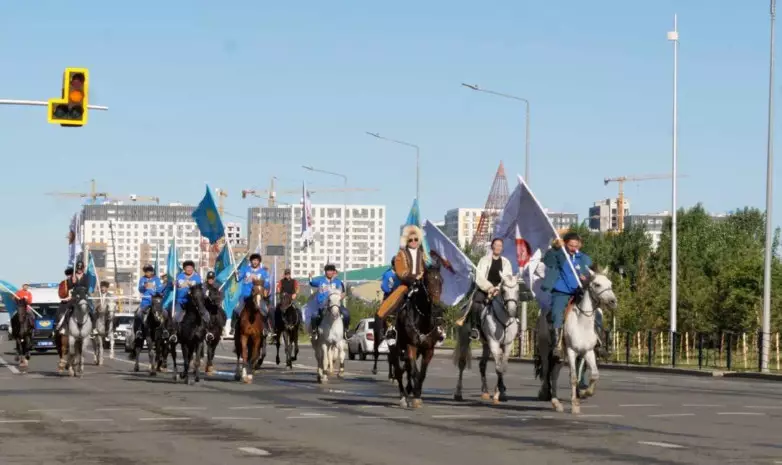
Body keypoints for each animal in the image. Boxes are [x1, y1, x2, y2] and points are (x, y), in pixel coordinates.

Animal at [536, 266, 620, 416]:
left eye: (610, 284)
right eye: (597, 284)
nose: (613, 301)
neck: (582, 323)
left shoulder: (588, 352)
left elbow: (595, 374)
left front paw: (586, 392)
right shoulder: (571, 351)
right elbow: (574, 377)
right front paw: (575, 404)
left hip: (560, 357)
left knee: (554, 375)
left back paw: (556, 403)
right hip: (545, 349)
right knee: (546, 372)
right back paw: (546, 394)